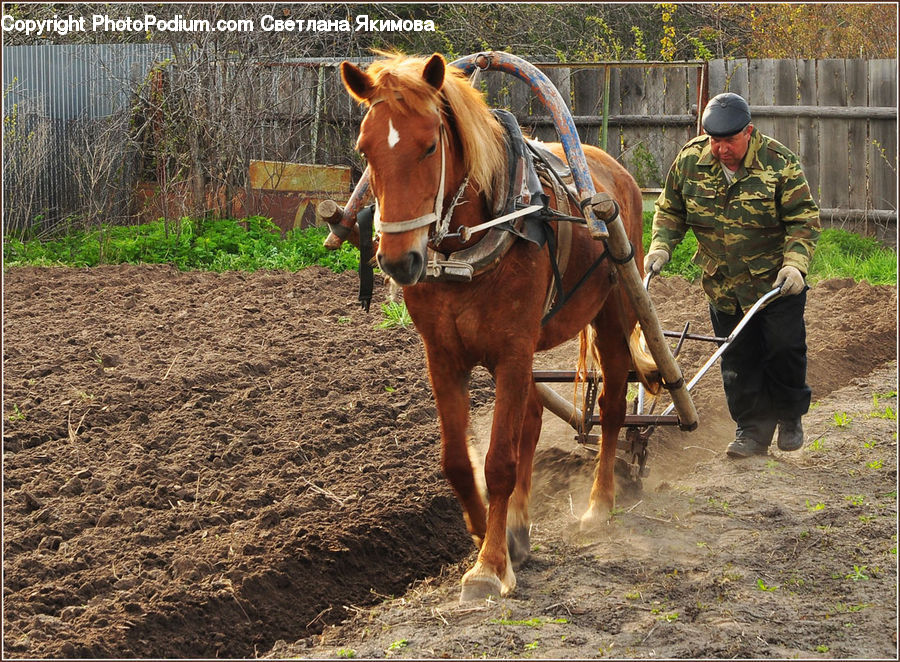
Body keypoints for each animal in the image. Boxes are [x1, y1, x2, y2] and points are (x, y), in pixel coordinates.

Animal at [340, 52, 658, 602]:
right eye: (365, 148)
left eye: (430, 145)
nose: (399, 261)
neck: (471, 246)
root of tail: (614, 170)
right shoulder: (444, 355)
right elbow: (457, 460)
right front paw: (486, 530)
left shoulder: (512, 351)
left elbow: (499, 462)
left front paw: (489, 566)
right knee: (531, 417)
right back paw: (520, 528)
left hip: (614, 313)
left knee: (613, 406)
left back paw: (599, 505)